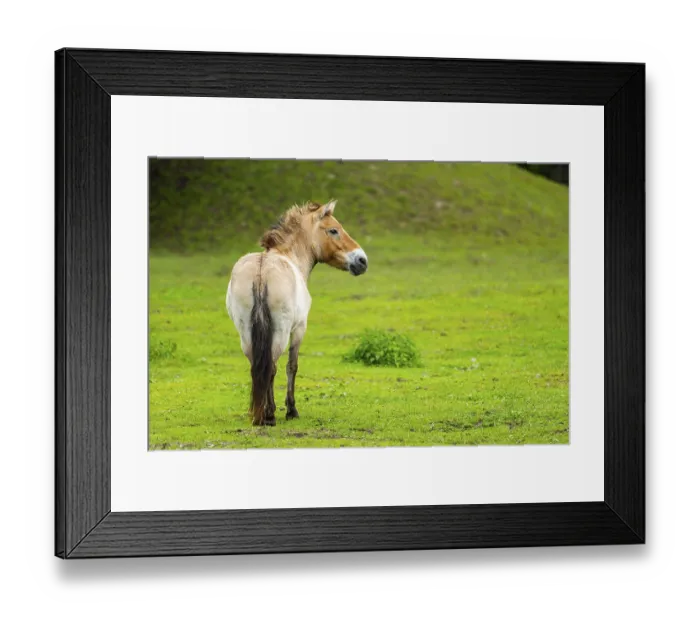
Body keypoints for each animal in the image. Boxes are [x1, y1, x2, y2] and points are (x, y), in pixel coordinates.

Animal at [226, 200, 368, 426]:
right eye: (333, 230)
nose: (362, 260)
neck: (288, 256)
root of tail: (261, 271)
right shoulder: (300, 329)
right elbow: (292, 366)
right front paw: (291, 409)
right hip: (281, 331)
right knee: (271, 366)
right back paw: (269, 414)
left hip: (245, 332)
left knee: (257, 366)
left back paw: (258, 413)